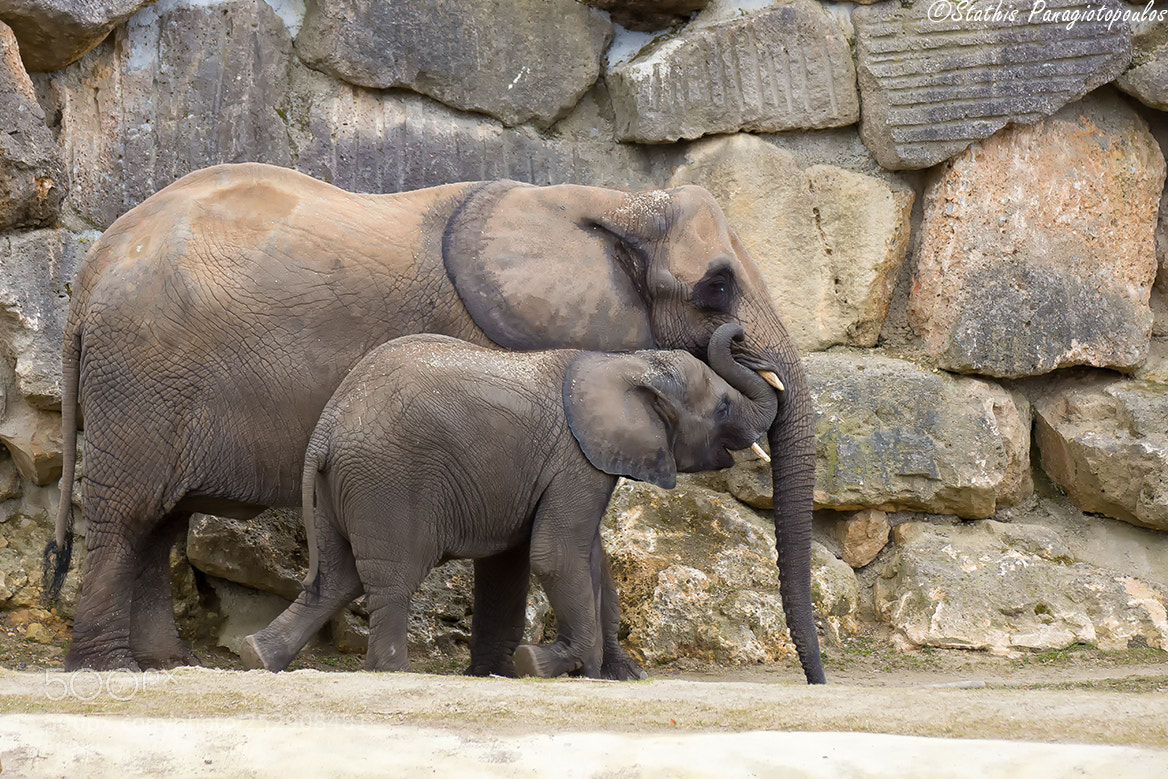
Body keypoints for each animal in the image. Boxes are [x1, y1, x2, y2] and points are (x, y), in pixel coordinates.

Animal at [240, 324, 777, 676]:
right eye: (723, 407)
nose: (741, 337)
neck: (621, 361)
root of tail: (328, 425)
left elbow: (566, 560)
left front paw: (609, 675)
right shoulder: (575, 461)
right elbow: (557, 555)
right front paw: (541, 663)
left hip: (339, 487)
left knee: (335, 577)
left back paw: (256, 656)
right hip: (387, 480)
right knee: (389, 579)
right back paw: (390, 671)